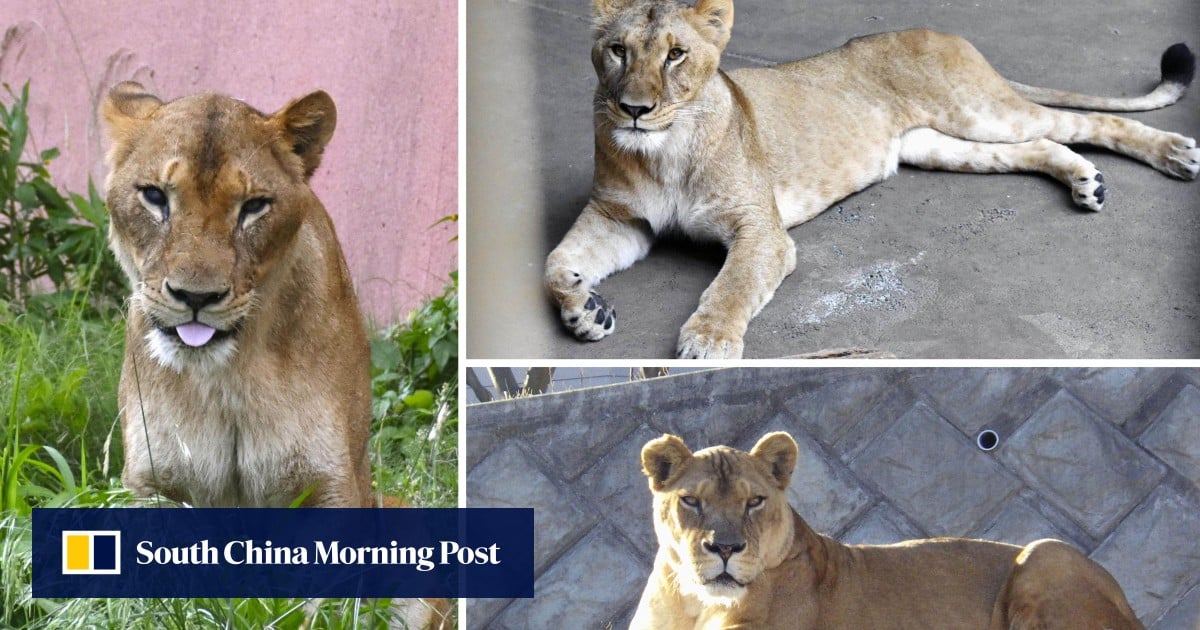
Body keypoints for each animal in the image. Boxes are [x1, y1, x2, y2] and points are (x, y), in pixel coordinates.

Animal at [102, 83, 449, 628]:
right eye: (155, 196)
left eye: (254, 206)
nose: (196, 296)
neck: (229, 375)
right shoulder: (152, 484)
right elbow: (157, 604)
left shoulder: (331, 488)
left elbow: (318, 612)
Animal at [545, 0, 1199, 359]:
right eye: (618, 51)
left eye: (676, 54)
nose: (633, 109)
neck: (664, 151)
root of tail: (946, 33)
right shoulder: (619, 219)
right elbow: (555, 264)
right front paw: (586, 311)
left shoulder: (762, 232)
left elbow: (731, 286)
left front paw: (708, 342)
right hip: (937, 144)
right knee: (1040, 145)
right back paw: (1086, 180)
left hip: (981, 110)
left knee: (1088, 121)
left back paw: (1174, 154)